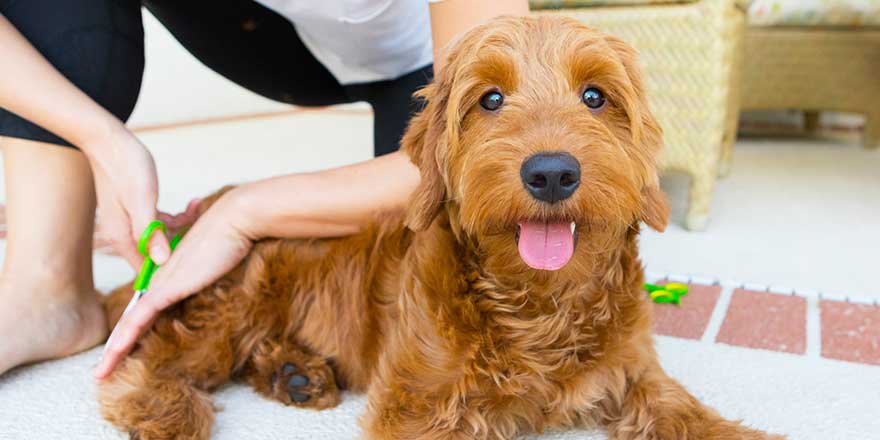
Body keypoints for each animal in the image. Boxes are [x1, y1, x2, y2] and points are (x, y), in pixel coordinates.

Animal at [98, 15, 784, 438]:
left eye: (595, 96)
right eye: (490, 99)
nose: (552, 173)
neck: (540, 306)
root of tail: (199, 214)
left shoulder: (636, 371)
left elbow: (683, 411)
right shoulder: (419, 405)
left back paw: (295, 374)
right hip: (227, 301)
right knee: (150, 358)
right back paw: (169, 410)